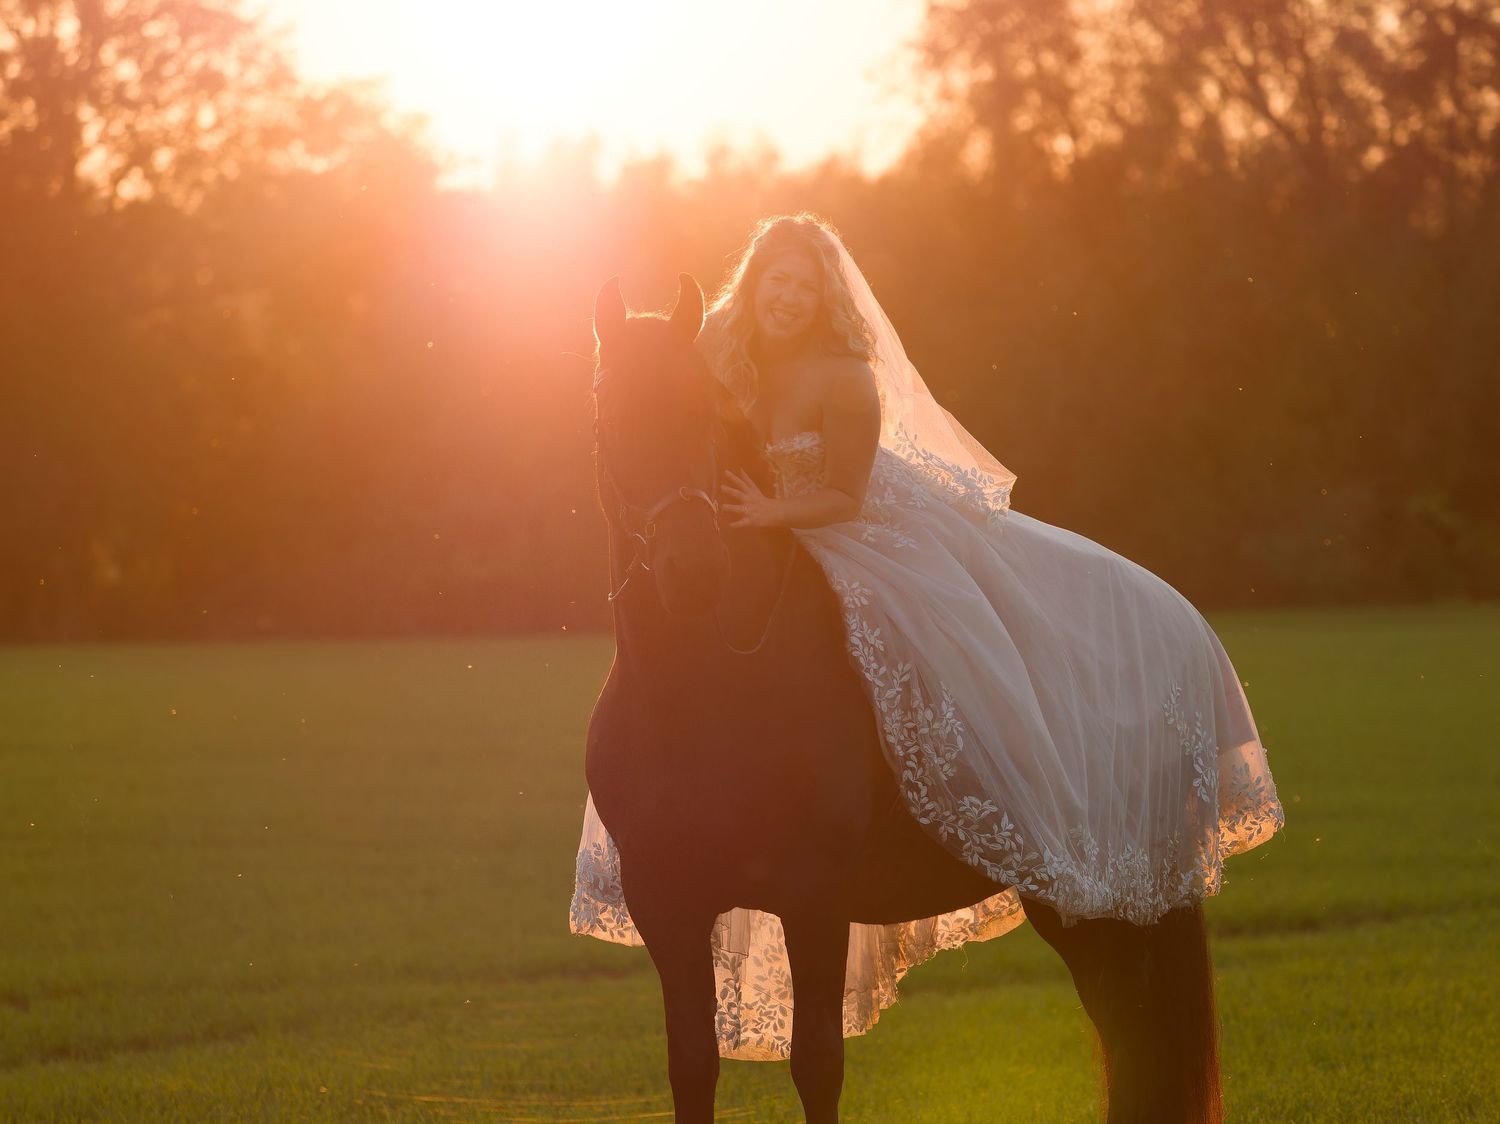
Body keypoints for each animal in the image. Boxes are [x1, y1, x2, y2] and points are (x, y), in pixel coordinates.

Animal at [583, 273, 1224, 1124]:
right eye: (611, 415)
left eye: (708, 412)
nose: (695, 571)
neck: (705, 695)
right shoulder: (668, 907)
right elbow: (692, 1066)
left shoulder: (813, 900)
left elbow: (817, 1063)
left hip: (1109, 900)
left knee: (1132, 1031)